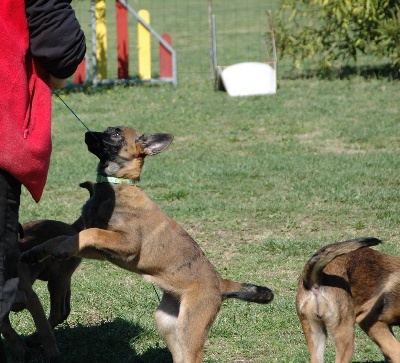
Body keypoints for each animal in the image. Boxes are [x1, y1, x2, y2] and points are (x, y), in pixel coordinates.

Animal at [1, 181, 93, 362]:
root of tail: (71, 227)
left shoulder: (31, 299)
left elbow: (44, 329)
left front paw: (52, 355)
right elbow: (7, 330)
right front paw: (21, 350)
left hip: (56, 280)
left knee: (57, 313)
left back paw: (35, 340)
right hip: (60, 278)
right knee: (64, 310)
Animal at [20, 127, 274, 363]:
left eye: (115, 134)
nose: (87, 133)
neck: (118, 186)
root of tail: (220, 283)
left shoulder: (126, 244)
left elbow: (89, 232)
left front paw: (60, 250)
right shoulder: (100, 250)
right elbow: (66, 237)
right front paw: (35, 252)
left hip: (191, 325)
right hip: (167, 322)